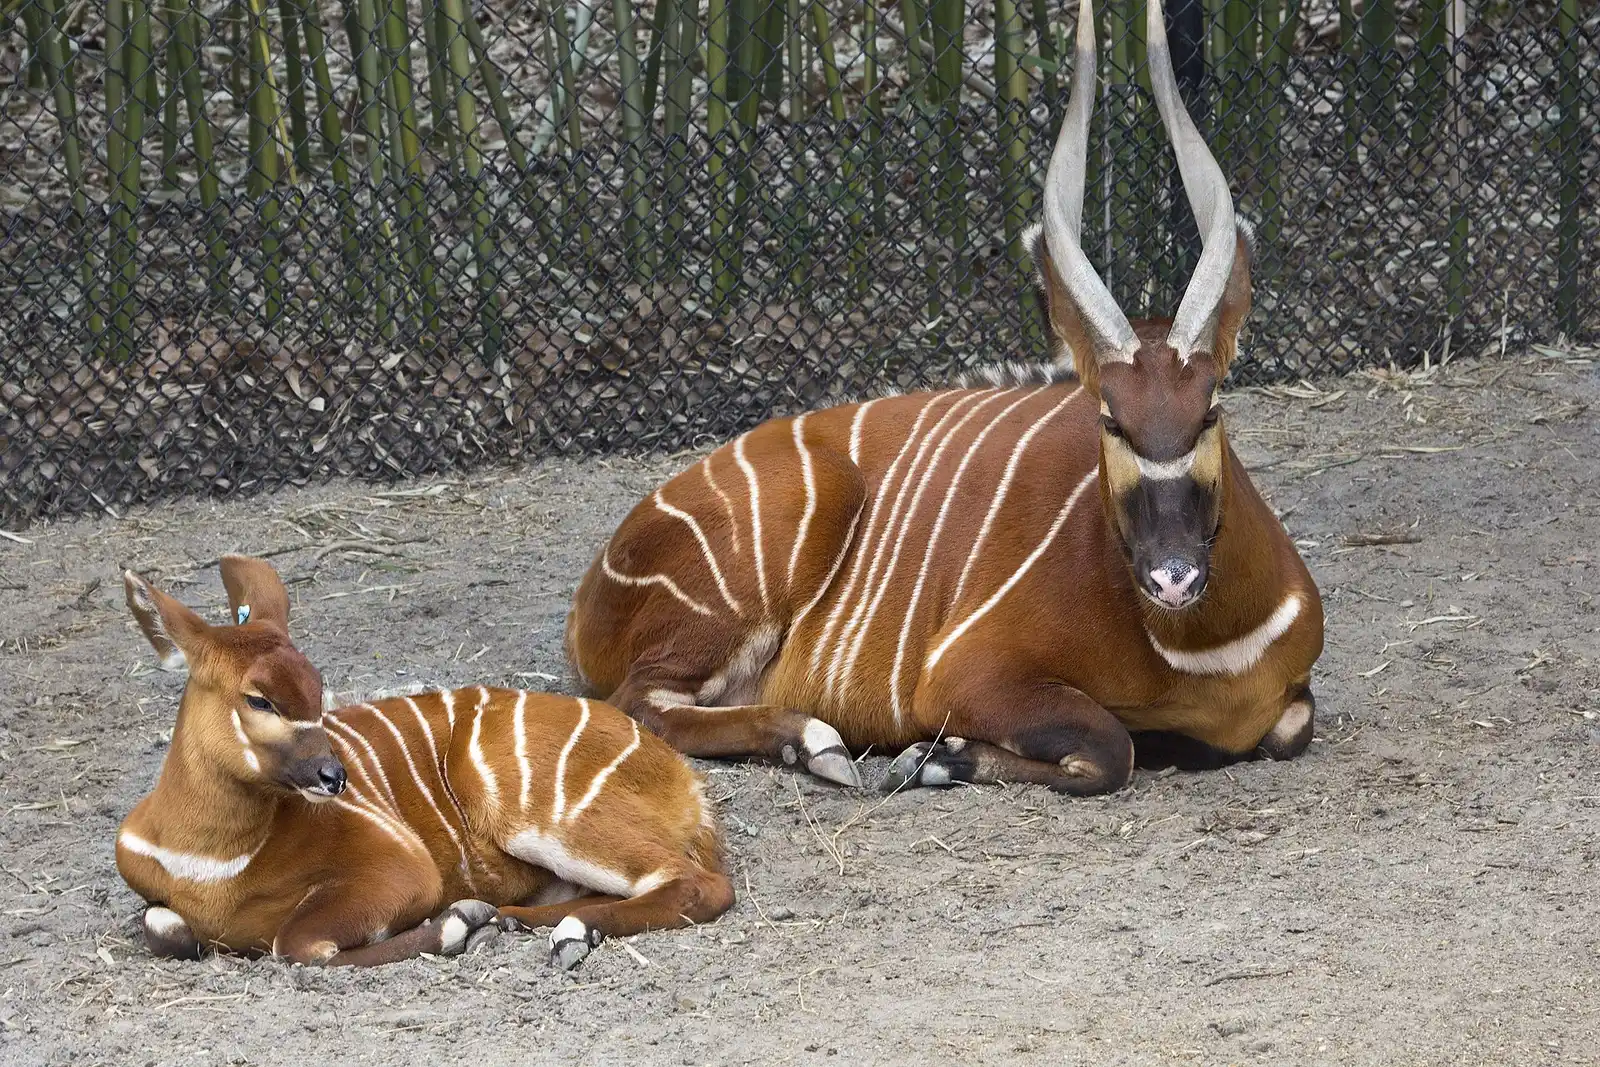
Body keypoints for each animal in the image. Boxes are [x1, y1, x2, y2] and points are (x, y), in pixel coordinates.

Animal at [115, 555, 732, 969]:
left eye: (318, 690)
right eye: (258, 699)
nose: (334, 776)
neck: (214, 862)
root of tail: (686, 785)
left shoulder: (404, 870)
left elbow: (299, 946)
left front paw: (461, 924)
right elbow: (162, 925)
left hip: (545, 820)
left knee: (702, 885)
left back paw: (553, 929)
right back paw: (530, 922)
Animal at [565, 0, 1323, 796]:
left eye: (1209, 409)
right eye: (1111, 420)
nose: (1172, 577)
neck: (1203, 650)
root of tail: (588, 595)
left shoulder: (1290, 703)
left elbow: (1287, 729)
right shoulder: (962, 673)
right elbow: (1109, 748)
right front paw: (933, 756)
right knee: (640, 703)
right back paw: (817, 742)